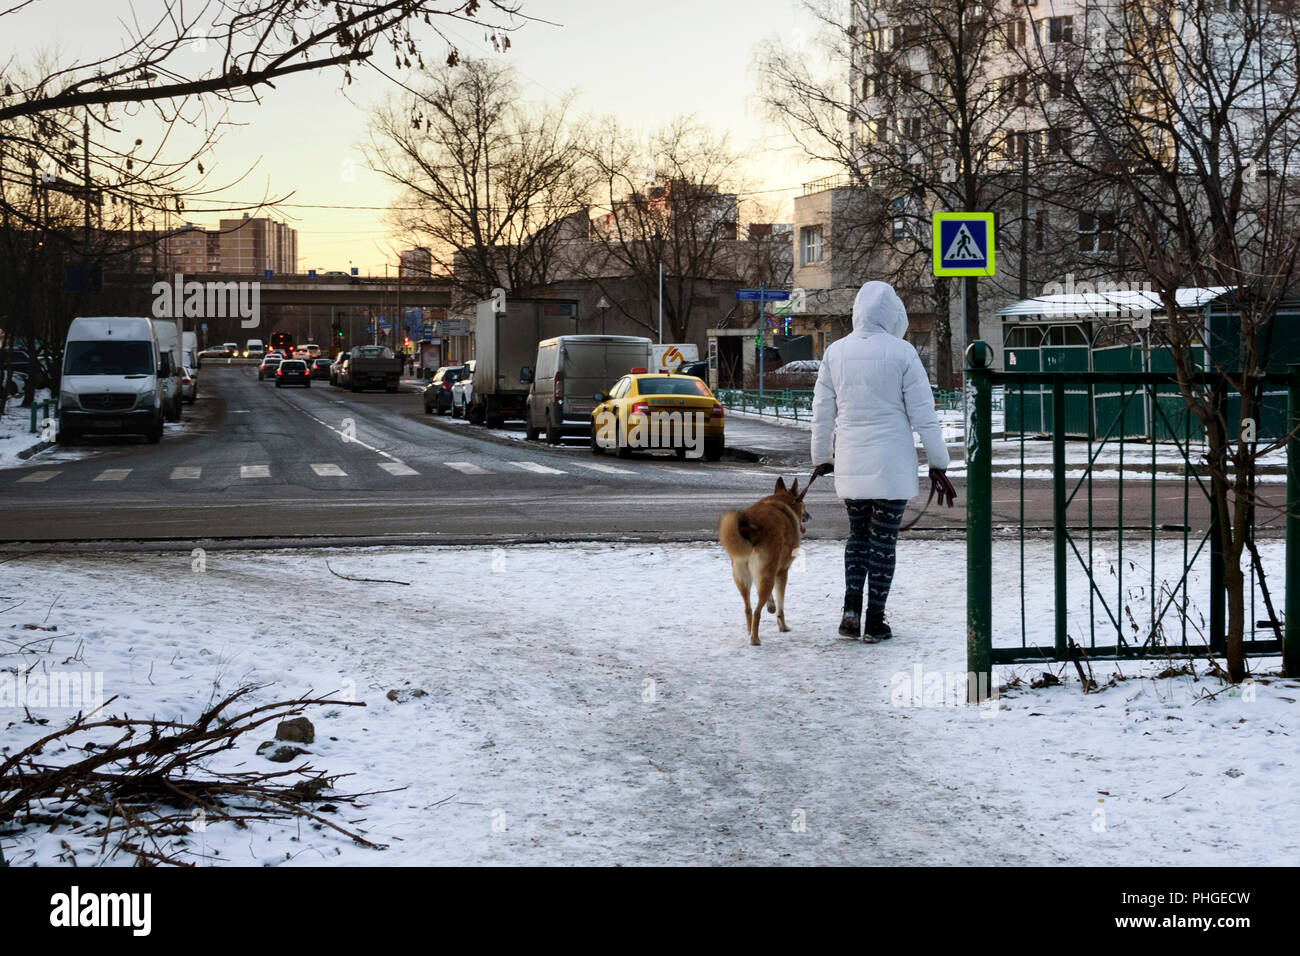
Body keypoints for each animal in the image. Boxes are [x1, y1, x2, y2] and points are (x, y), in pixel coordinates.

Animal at [717, 476, 806, 642]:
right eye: (804, 504)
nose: (809, 516)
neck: (781, 502)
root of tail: (753, 530)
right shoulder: (782, 572)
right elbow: (780, 607)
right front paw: (783, 626)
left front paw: (770, 606)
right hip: (767, 577)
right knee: (757, 612)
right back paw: (755, 640)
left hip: (743, 577)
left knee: (748, 609)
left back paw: (749, 631)